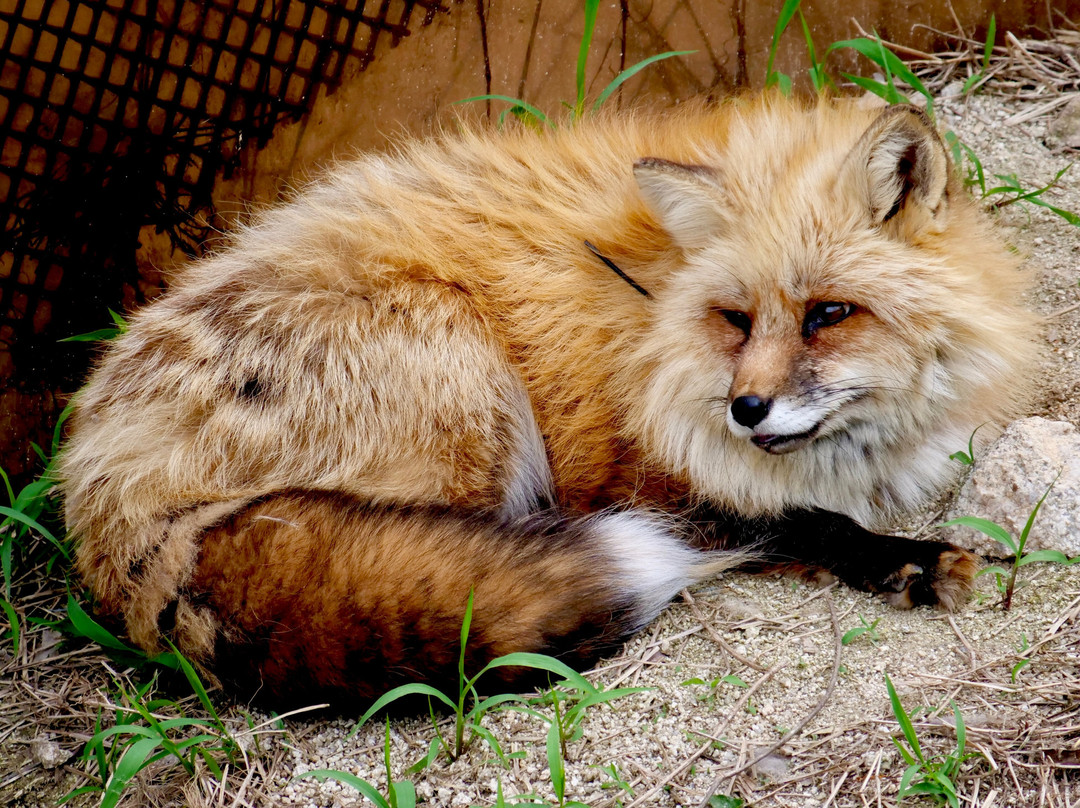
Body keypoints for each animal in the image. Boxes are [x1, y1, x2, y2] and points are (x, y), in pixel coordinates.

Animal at [60, 95, 1036, 709]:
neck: (649, 319)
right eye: (736, 319)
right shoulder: (636, 481)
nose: (746, 410)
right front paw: (903, 561)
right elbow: (798, 520)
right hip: (467, 383)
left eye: (829, 314)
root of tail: (97, 472)